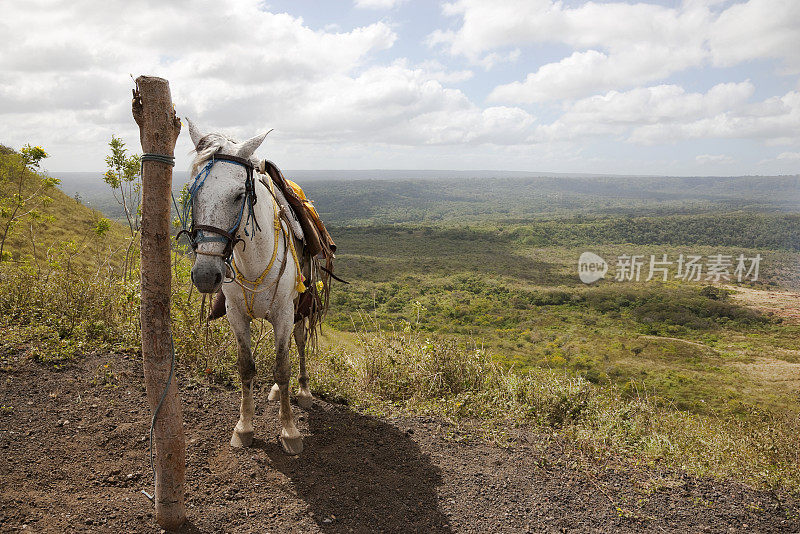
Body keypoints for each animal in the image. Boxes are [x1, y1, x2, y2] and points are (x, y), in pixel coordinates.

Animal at [184, 118, 312, 456]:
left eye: (240, 194)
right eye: (193, 193)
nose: (206, 275)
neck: (253, 258)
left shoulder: (284, 312)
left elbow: (282, 366)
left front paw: (290, 431)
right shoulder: (235, 314)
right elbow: (245, 366)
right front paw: (244, 427)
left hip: (299, 309)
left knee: (299, 342)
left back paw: (304, 391)